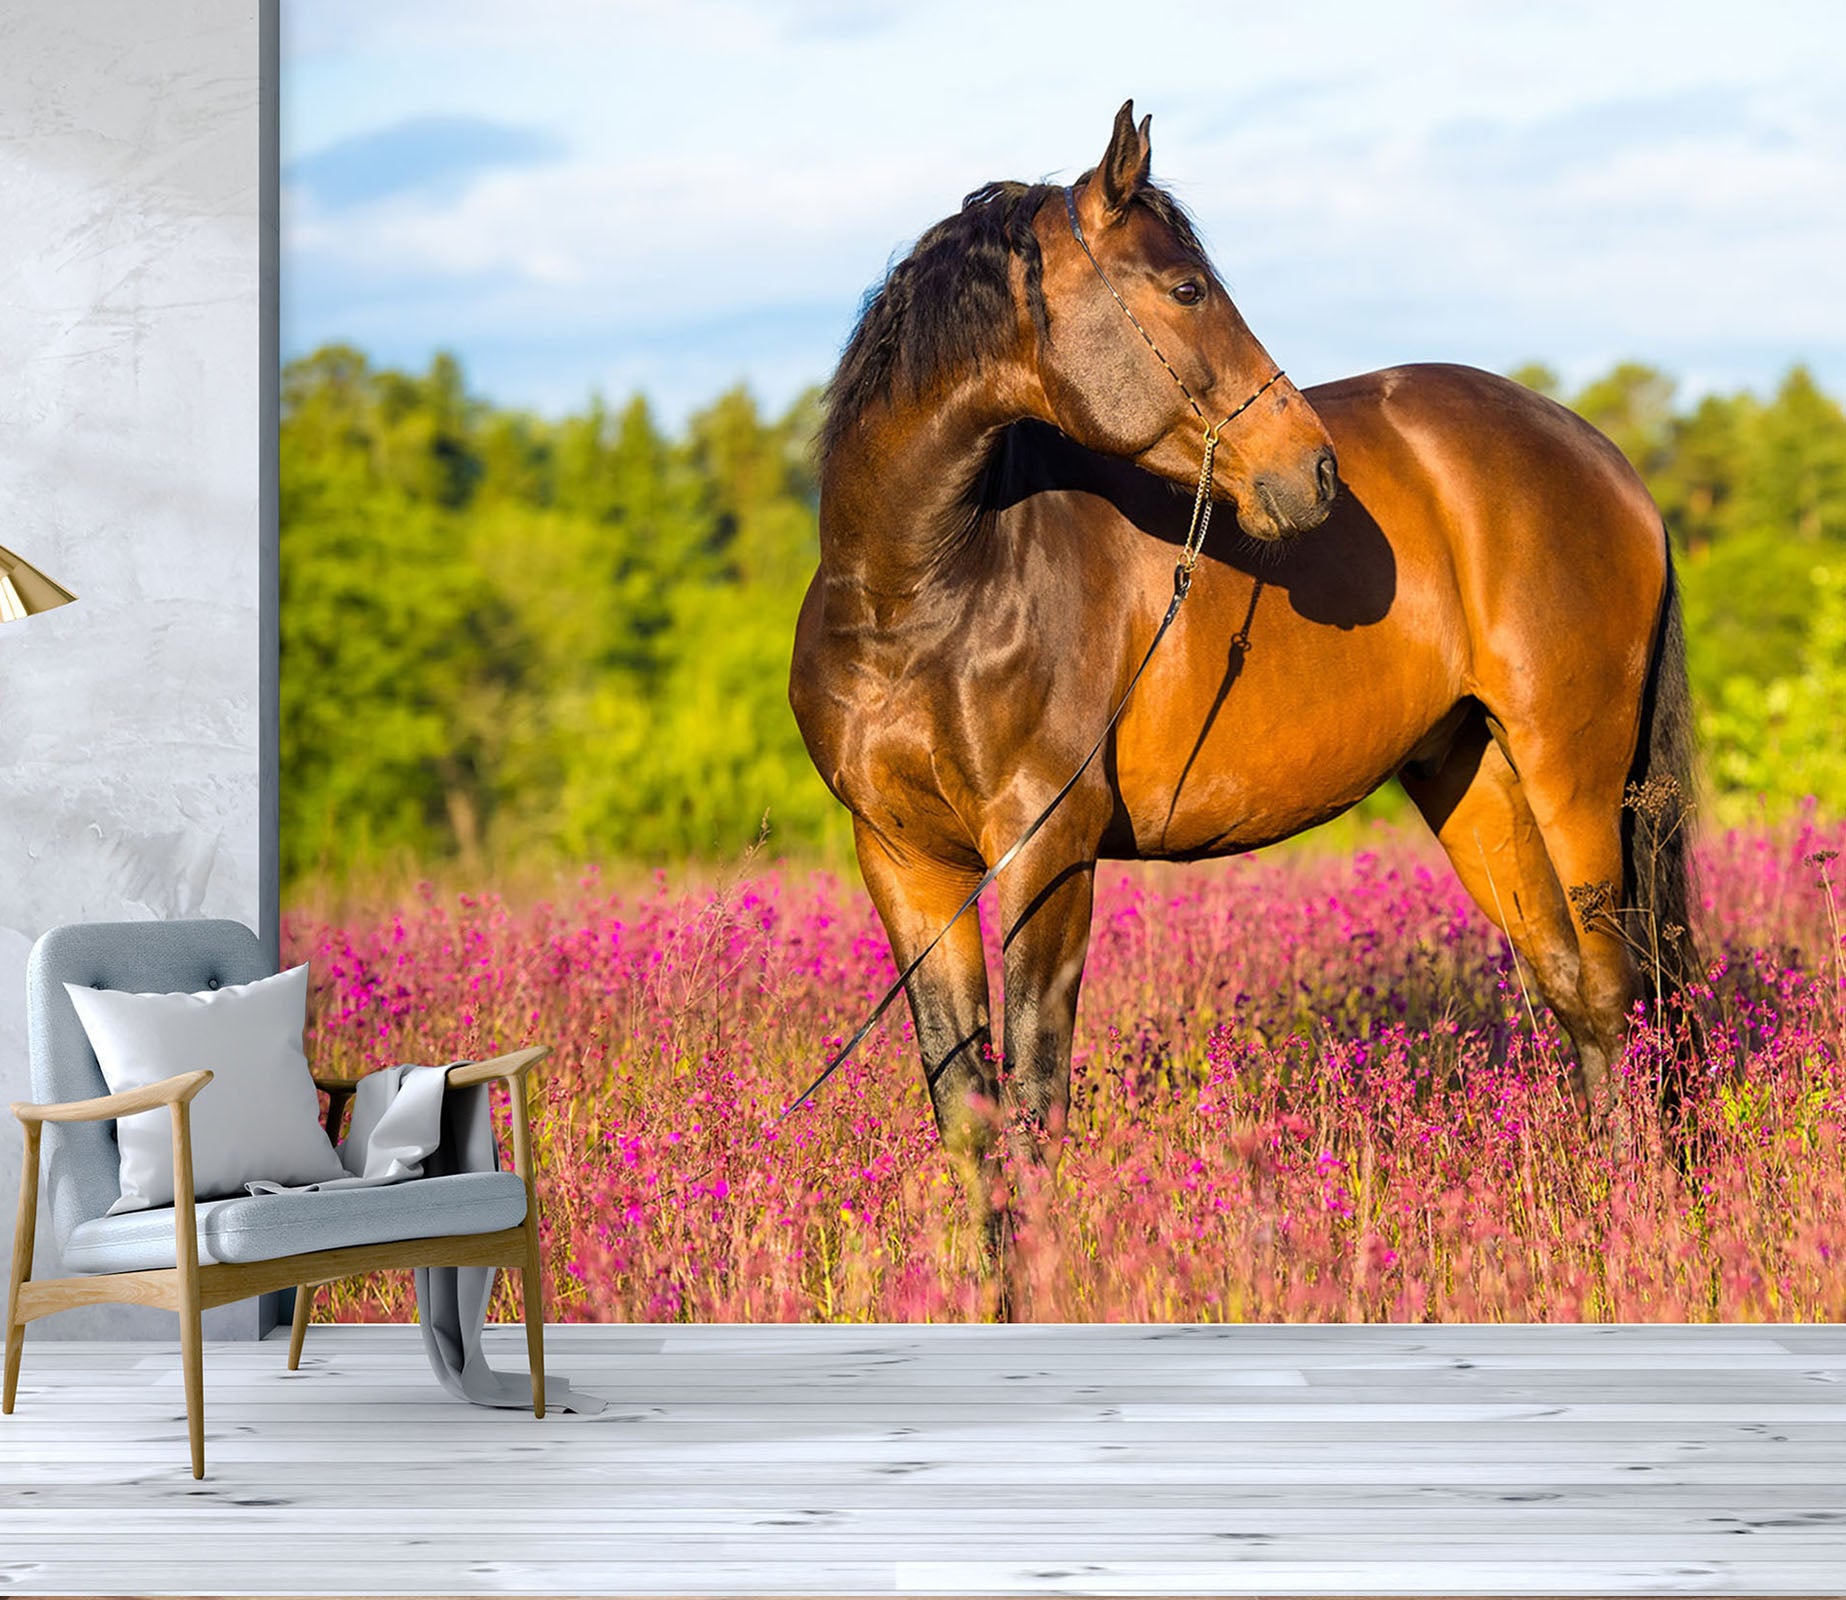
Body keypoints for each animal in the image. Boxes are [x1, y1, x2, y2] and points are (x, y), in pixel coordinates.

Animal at [789, 102, 1696, 1261]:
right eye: (1187, 288)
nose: (1314, 471)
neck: (924, 590)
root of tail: (1605, 461)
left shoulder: (1048, 851)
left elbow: (1035, 1103)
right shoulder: (907, 866)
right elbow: (971, 1115)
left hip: (1572, 774)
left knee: (1624, 990)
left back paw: (1637, 1222)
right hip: (1475, 781)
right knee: (1577, 992)